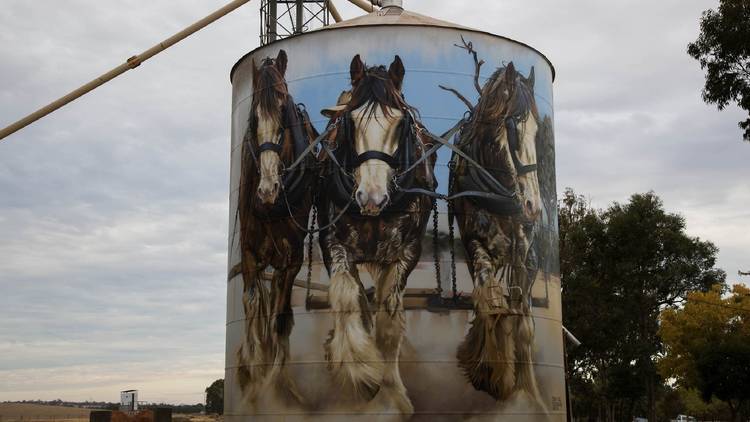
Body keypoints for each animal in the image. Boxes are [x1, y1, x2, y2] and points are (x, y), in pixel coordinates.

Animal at [316, 53, 434, 416]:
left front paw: (392, 393)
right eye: (350, 122)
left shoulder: (406, 252)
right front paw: (361, 370)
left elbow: (389, 320)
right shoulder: (333, 244)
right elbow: (346, 300)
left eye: (401, 122)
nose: (371, 197)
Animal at [450, 62, 544, 406]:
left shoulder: (523, 246)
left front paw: (527, 386)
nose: (533, 205)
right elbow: (490, 301)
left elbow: (523, 316)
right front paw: (493, 373)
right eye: (513, 127)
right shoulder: (473, 242)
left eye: (538, 131)